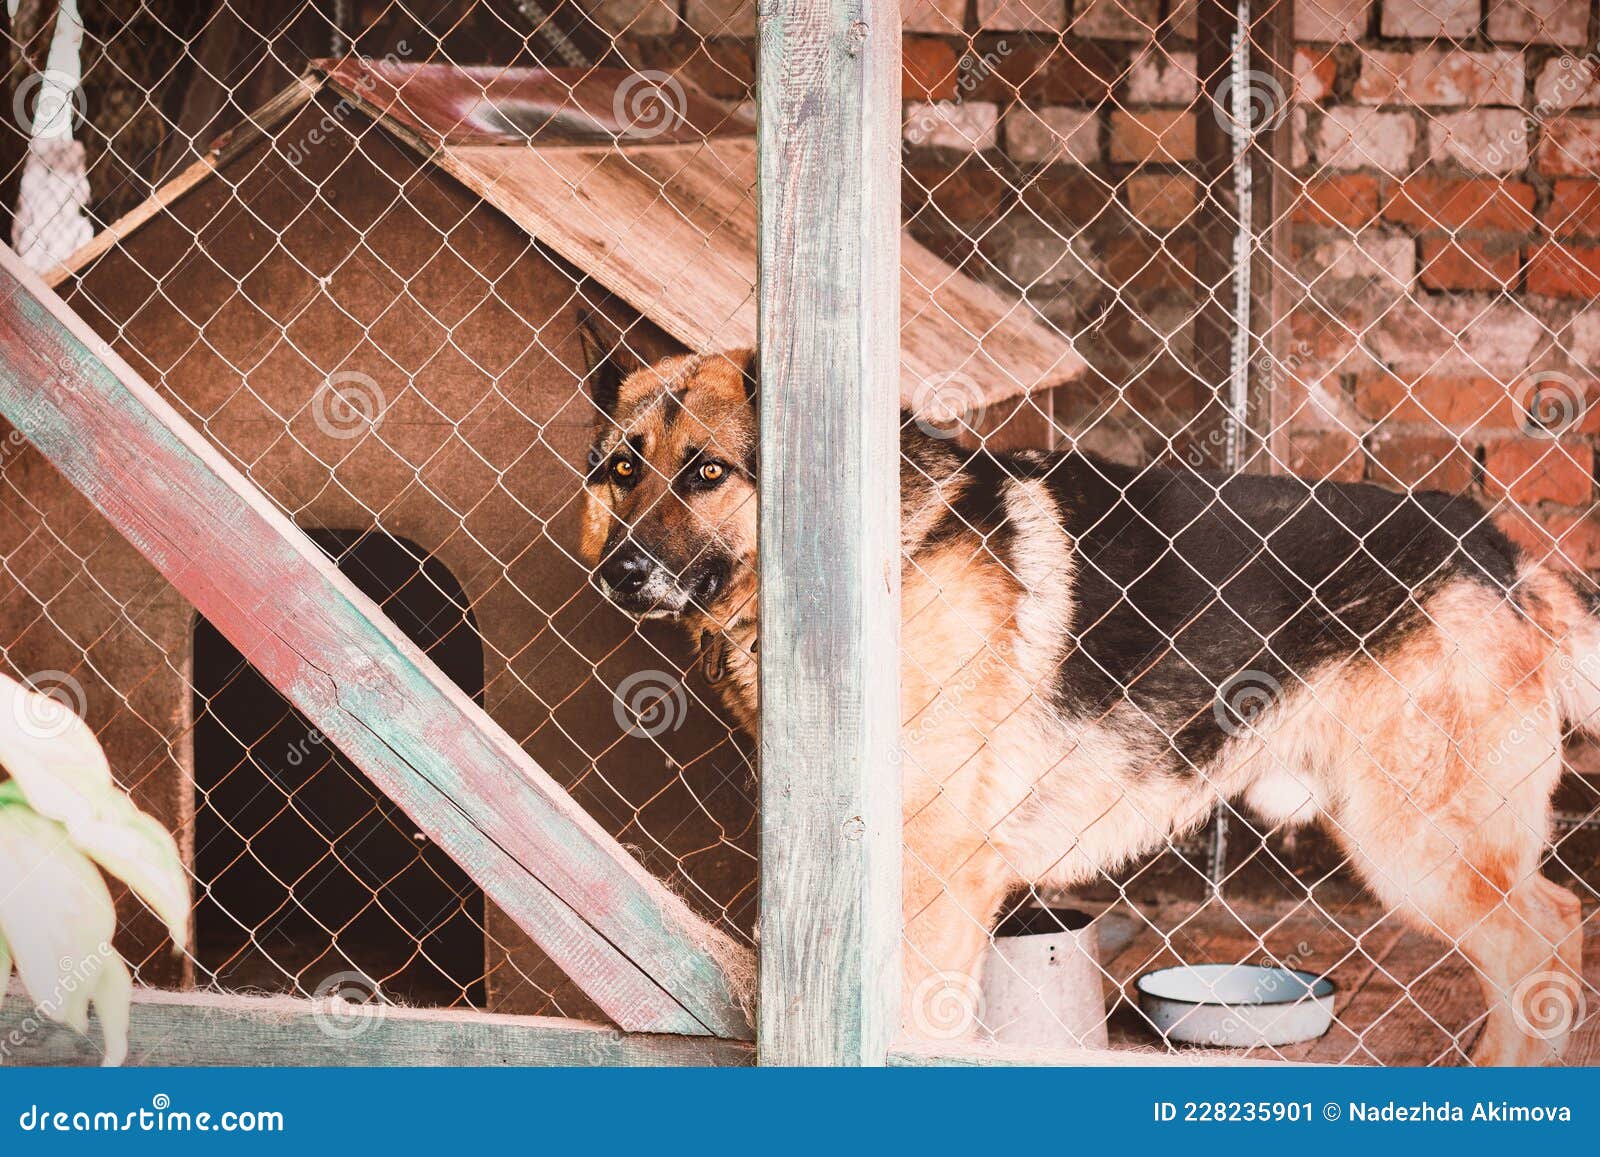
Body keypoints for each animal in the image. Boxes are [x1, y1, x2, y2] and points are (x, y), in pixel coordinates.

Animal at [582, 339, 1593, 1062]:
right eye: (624, 471)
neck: (877, 557)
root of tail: (1497, 549)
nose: (619, 573)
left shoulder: (940, 876)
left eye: (708, 472)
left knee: (1548, 936)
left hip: (1417, 843)